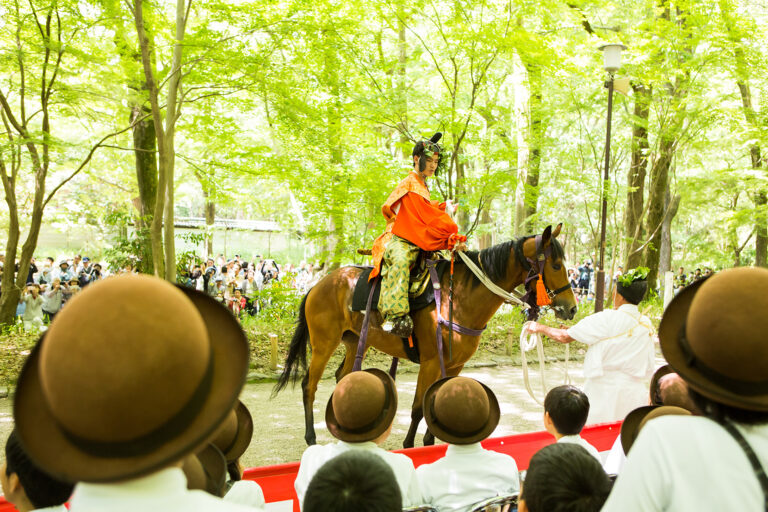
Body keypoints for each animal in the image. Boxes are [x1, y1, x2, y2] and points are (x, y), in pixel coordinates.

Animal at [272, 224, 576, 448]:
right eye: (556, 265)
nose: (571, 308)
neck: (458, 299)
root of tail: (318, 285)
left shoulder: (455, 364)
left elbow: (441, 400)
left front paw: (432, 442)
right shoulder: (430, 361)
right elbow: (419, 407)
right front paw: (410, 444)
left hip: (354, 340)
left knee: (343, 378)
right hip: (324, 342)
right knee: (309, 386)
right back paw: (311, 437)